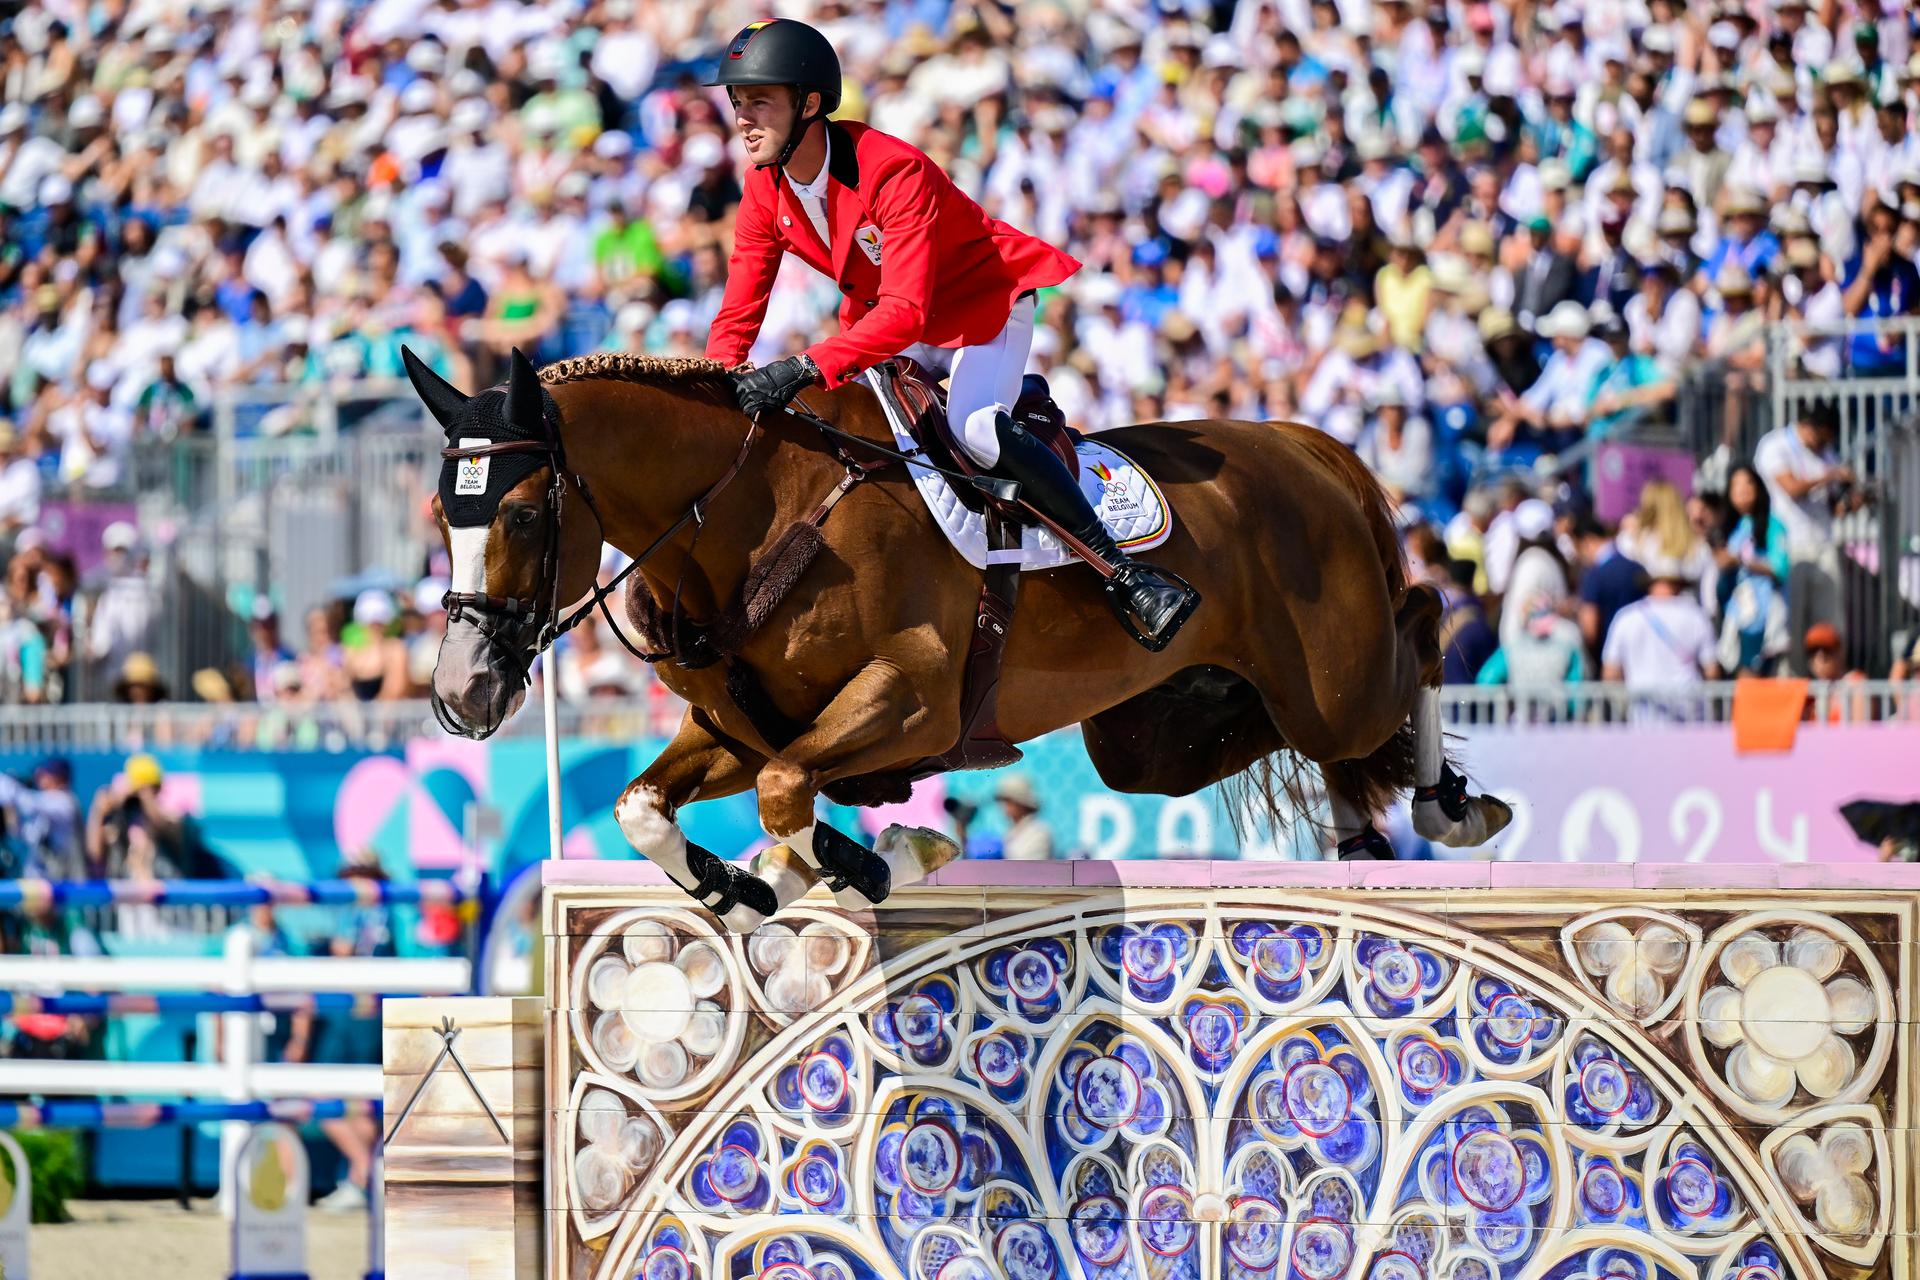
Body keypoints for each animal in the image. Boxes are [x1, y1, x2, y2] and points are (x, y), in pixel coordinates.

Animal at [410, 346, 1510, 931]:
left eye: (519, 515)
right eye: (436, 513)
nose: (462, 697)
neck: (755, 512)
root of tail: (1303, 446)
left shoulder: (915, 695)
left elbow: (788, 795)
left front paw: (873, 859)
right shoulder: (738, 729)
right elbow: (648, 807)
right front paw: (753, 879)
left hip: (1336, 676)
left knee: (1417, 626)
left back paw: (1451, 805)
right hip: (1156, 739)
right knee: (1286, 738)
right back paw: (1362, 828)